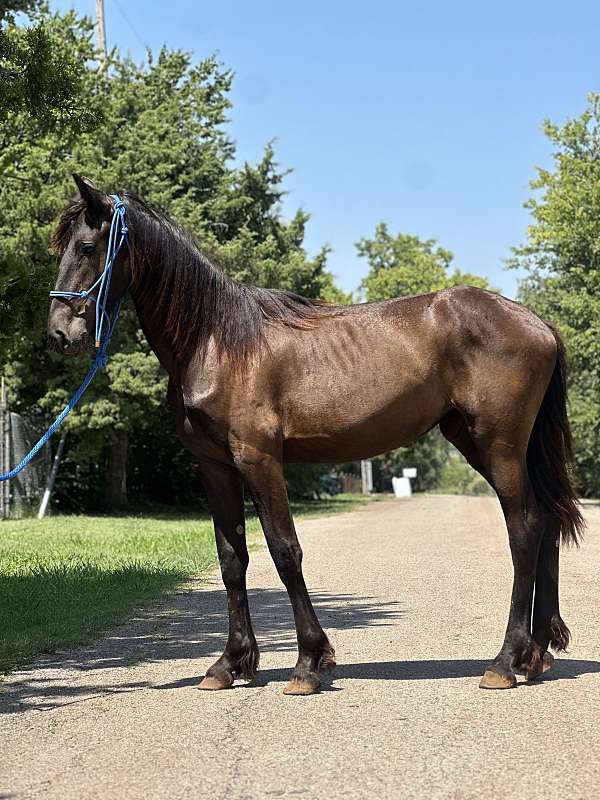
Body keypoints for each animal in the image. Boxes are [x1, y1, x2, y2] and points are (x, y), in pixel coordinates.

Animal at [48, 174, 584, 695]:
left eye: (87, 247)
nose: (59, 334)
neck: (217, 340)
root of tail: (539, 324)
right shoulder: (215, 465)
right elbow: (232, 558)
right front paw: (228, 664)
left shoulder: (259, 459)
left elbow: (285, 551)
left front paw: (308, 663)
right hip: (481, 443)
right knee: (547, 523)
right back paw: (535, 655)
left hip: (499, 446)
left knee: (525, 529)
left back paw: (505, 661)